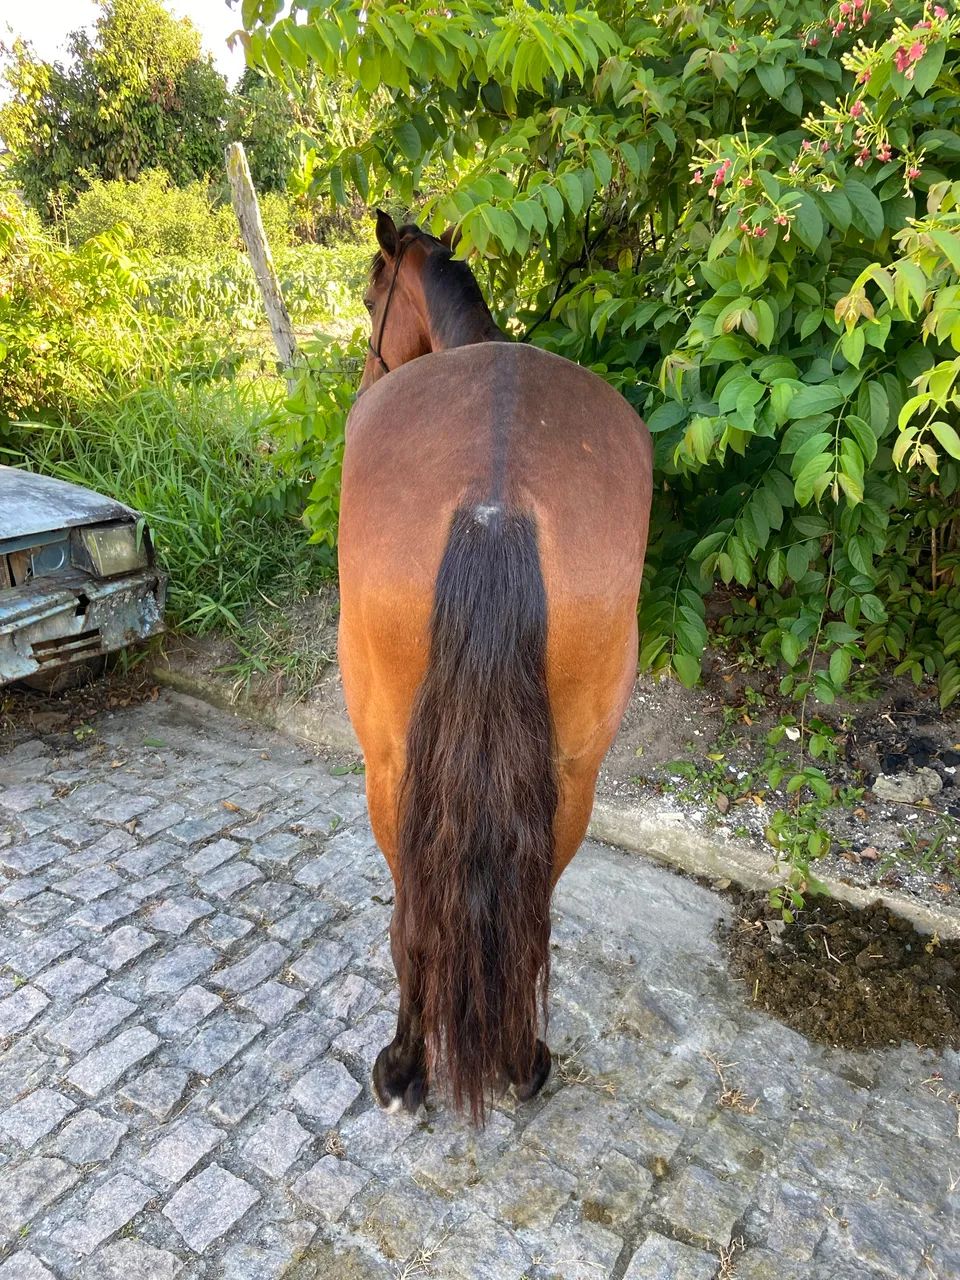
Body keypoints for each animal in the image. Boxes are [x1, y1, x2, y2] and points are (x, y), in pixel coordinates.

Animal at [337, 209, 653, 1122]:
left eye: (369, 293)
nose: (364, 375)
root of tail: (496, 495)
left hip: (392, 766)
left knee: (414, 909)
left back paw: (405, 1067)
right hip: (573, 771)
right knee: (533, 902)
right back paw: (521, 1059)